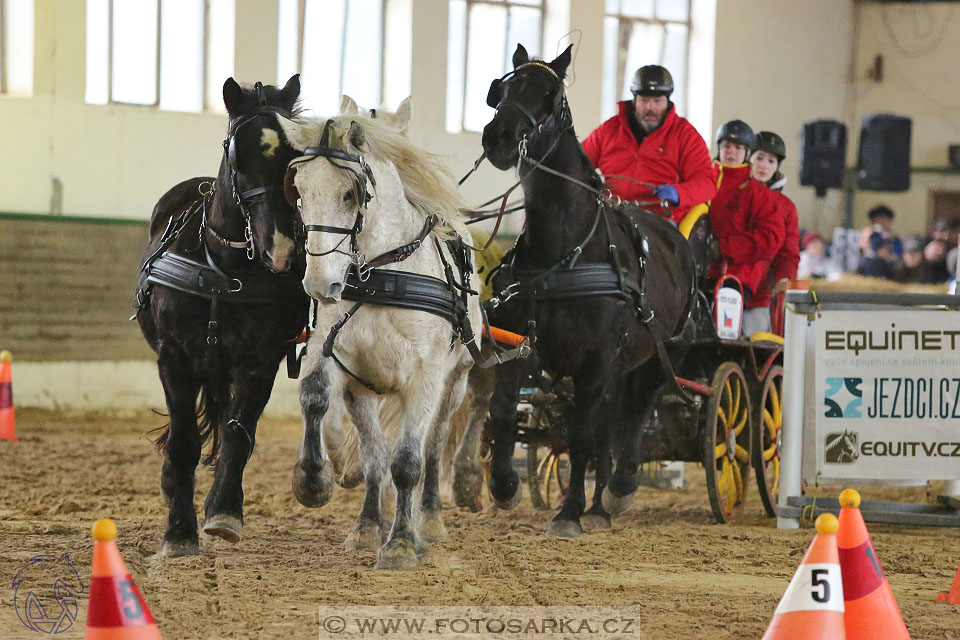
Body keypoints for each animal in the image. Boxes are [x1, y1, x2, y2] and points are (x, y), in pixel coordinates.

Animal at [135, 75, 306, 556]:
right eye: (237, 152)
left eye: (297, 155)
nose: (280, 248)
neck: (224, 271)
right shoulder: (174, 357)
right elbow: (183, 441)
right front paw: (179, 531)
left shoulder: (260, 361)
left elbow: (237, 434)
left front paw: (225, 511)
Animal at [282, 111, 484, 568]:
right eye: (299, 191)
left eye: (349, 194)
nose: (319, 284)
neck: (384, 273)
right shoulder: (345, 363)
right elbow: (321, 404)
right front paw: (320, 486)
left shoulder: (425, 376)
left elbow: (407, 461)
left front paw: (402, 543)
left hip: (455, 382)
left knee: (434, 447)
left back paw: (429, 519)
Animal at [480, 43, 696, 536]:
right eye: (503, 88)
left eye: (551, 94)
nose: (499, 137)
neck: (562, 251)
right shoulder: (519, 346)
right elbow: (503, 410)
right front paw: (504, 487)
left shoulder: (594, 361)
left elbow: (581, 433)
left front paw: (569, 511)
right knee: (609, 425)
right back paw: (600, 506)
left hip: (661, 356)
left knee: (632, 417)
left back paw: (617, 491)